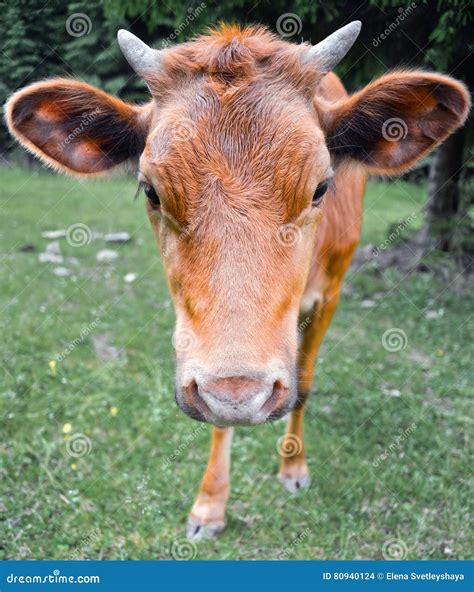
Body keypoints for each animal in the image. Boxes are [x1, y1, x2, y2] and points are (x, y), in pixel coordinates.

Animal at [6, 22, 470, 540]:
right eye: (151, 190)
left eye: (321, 187)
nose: (242, 394)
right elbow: (217, 417)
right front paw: (209, 506)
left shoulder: (329, 296)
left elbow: (304, 382)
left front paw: (293, 468)